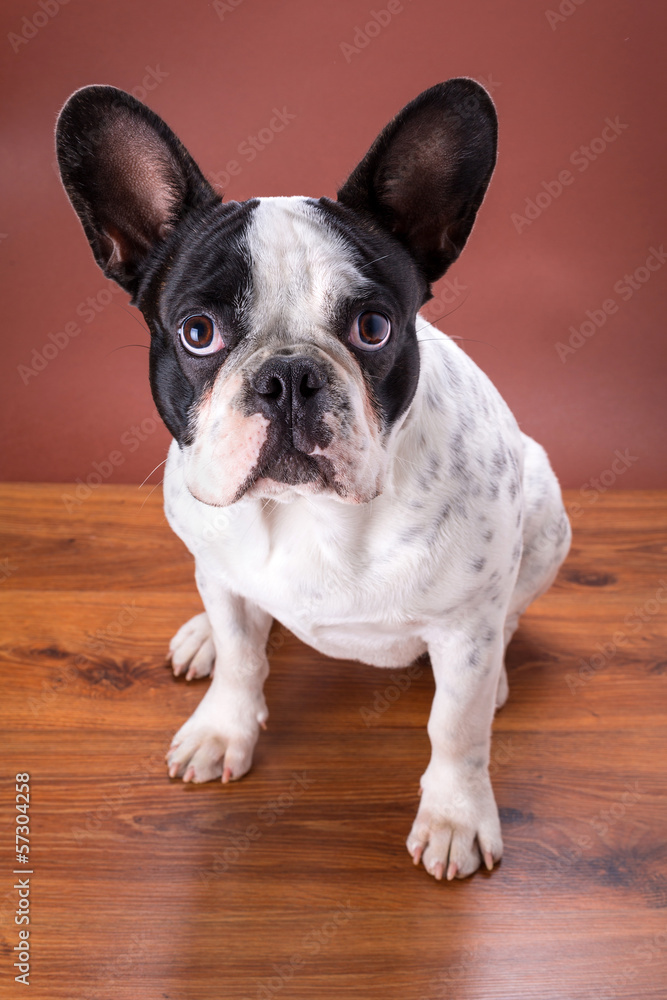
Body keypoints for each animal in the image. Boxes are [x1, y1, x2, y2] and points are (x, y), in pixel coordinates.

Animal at [56, 78, 576, 880]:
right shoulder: (224, 573)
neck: (305, 512)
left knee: (511, 612)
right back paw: (203, 637)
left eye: (373, 327)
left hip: (544, 509)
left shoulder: (464, 629)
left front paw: (455, 814)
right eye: (198, 333)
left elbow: (454, 729)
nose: (288, 377)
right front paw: (224, 728)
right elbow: (244, 662)